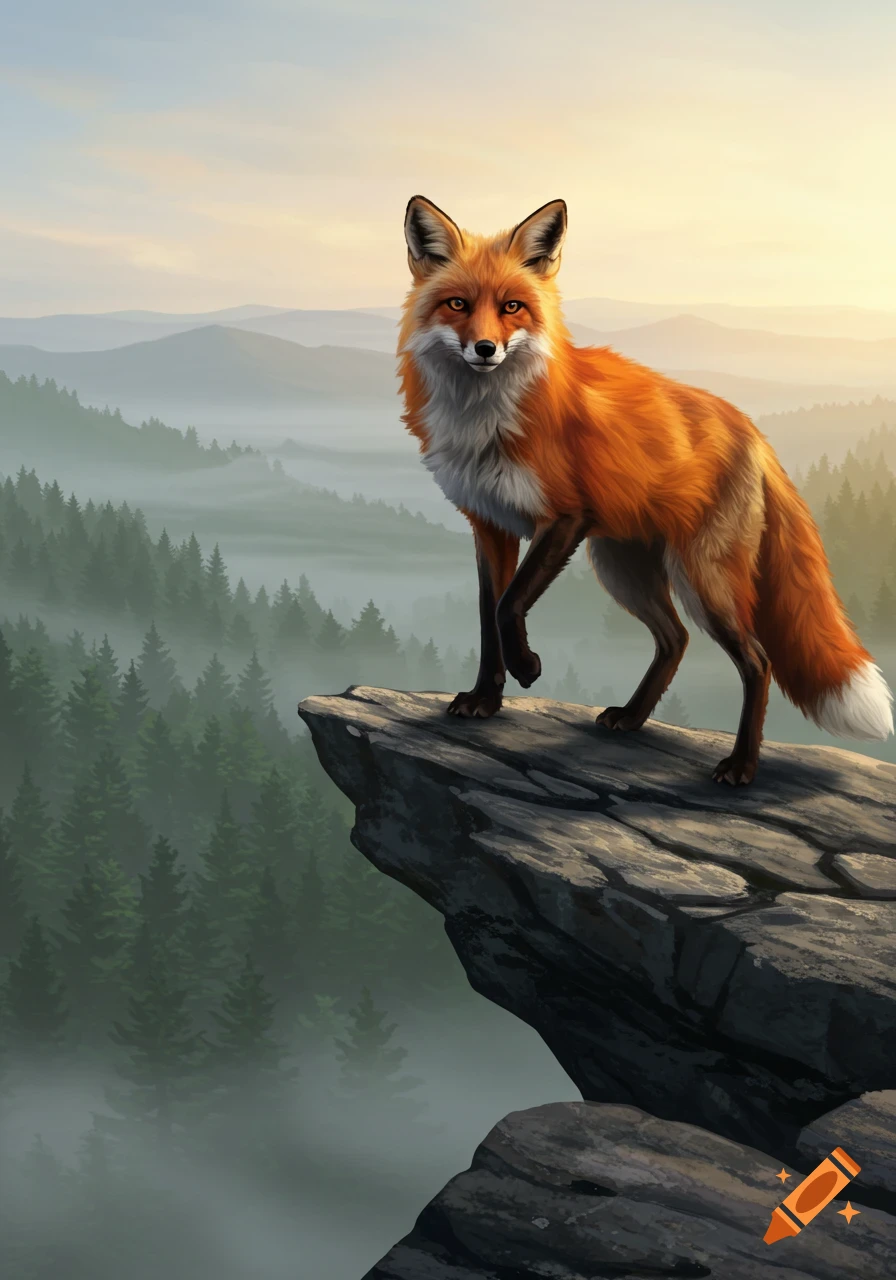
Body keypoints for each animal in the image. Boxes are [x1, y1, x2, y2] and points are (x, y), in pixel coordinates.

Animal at [396, 194, 894, 784]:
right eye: (457, 304)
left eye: (512, 306)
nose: (485, 348)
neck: (488, 419)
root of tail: (750, 428)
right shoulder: (490, 525)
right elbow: (487, 614)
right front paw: (485, 699)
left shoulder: (564, 516)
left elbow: (507, 606)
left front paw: (527, 667)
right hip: (623, 567)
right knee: (675, 639)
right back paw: (632, 717)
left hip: (703, 578)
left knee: (757, 660)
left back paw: (741, 765)